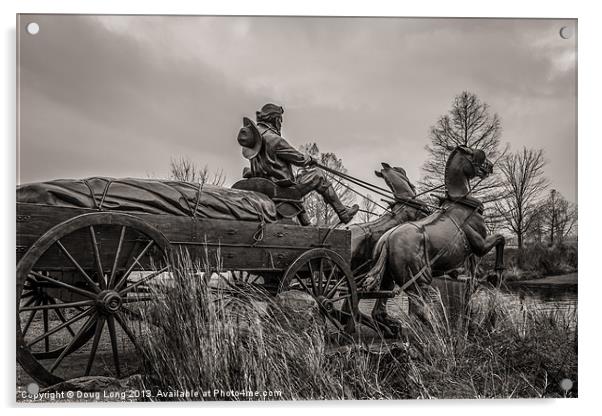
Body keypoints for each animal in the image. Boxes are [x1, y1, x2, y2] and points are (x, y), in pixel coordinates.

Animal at [364, 145, 504, 328]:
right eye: (475, 154)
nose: (490, 166)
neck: (462, 204)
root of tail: (387, 241)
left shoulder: (472, 252)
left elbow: (473, 274)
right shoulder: (480, 245)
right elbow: (501, 238)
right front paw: (497, 272)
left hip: (389, 280)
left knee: (381, 311)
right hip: (418, 282)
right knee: (420, 313)